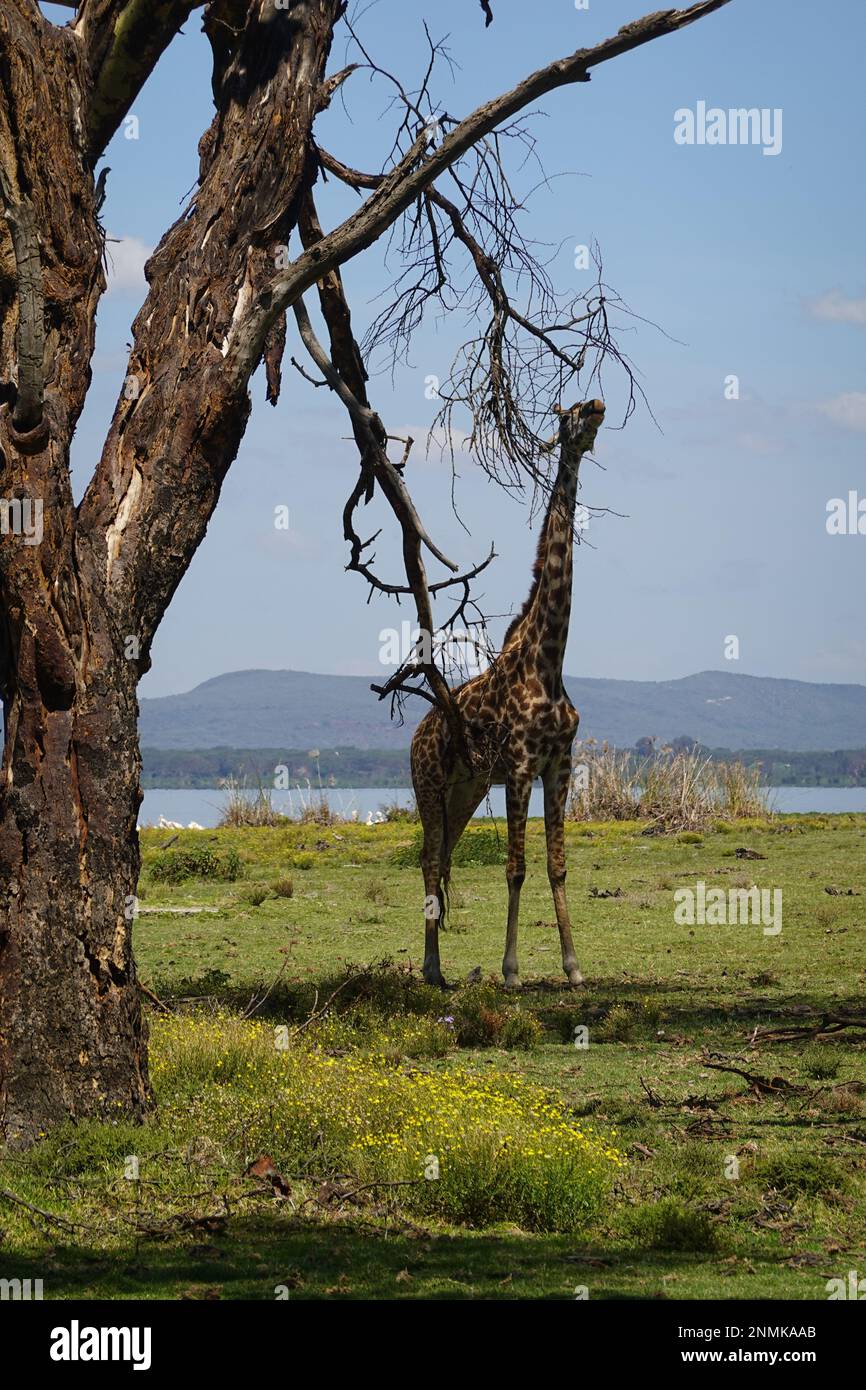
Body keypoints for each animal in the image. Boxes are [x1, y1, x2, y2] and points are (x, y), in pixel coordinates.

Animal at [411, 397, 603, 989]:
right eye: (568, 415)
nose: (597, 407)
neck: (549, 659)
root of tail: (417, 734)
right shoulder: (520, 765)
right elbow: (515, 868)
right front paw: (512, 970)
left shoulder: (559, 764)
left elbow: (556, 865)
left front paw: (574, 967)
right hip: (428, 785)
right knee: (429, 859)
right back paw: (431, 968)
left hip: (466, 790)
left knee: (442, 858)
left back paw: (437, 965)